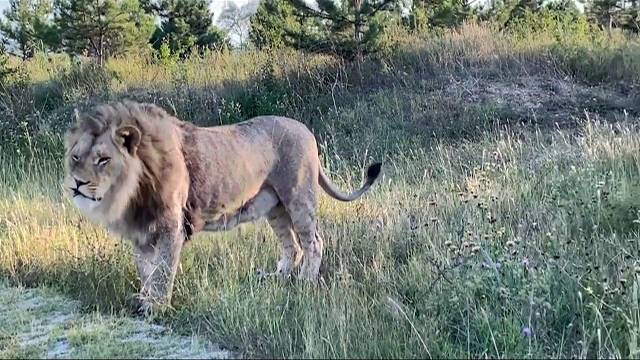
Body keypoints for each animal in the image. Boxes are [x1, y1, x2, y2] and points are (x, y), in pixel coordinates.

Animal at [63, 100, 380, 312]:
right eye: (76, 157)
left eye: (104, 159)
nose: (77, 184)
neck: (131, 192)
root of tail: (307, 130)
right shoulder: (141, 232)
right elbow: (146, 270)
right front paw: (144, 300)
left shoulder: (171, 227)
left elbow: (162, 271)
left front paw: (156, 308)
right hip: (275, 208)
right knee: (292, 245)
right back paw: (276, 277)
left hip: (298, 197)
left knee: (313, 242)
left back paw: (304, 283)